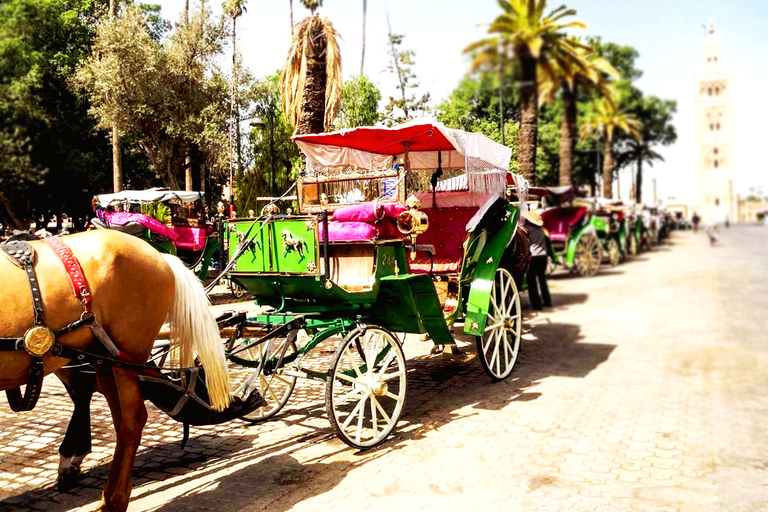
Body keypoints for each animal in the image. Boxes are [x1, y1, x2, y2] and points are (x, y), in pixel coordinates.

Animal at [0, 231, 230, 512]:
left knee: (132, 420)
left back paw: (114, 498)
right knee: (114, 417)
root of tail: (160, 256)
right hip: (104, 357)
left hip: (125, 356)